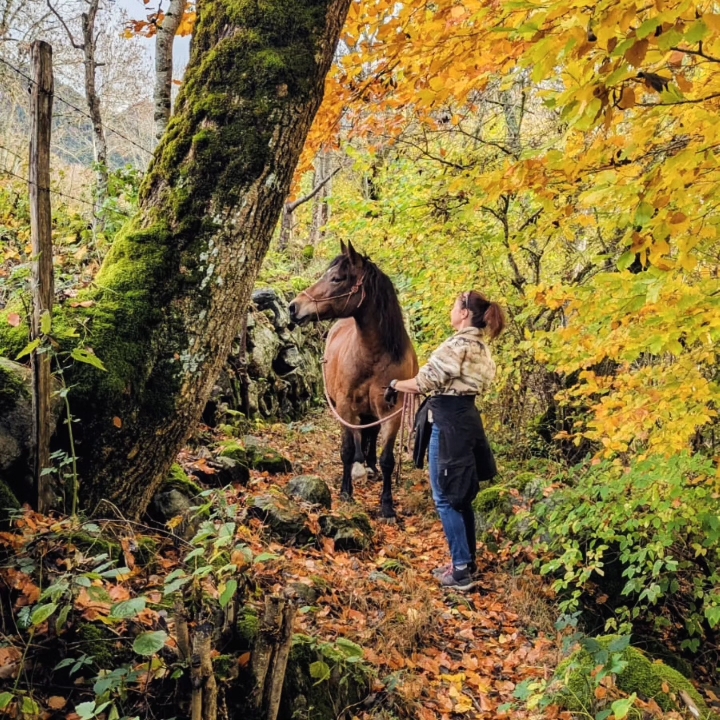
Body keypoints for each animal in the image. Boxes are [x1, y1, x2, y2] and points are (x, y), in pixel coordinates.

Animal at [289, 241, 418, 518]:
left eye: (337, 278)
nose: (293, 307)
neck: (372, 356)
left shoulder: (392, 412)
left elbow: (387, 459)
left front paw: (387, 506)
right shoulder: (345, 406)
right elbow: (347, 450)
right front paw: (346, 492)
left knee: (370, 432)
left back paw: (369, 466)